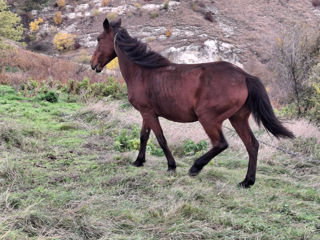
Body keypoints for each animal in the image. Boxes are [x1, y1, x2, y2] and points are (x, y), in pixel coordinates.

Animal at [90, 18, 296, 188]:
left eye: (99, 39)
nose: (93, 65)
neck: (142, 71)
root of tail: (245, 76)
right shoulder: (146, 113)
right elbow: (144, 137)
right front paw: (139, 161)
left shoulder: (148, 113)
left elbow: (160, 139)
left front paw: (171, 166)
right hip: (237, 119)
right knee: (252, 145)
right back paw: (247, 181)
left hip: (209, 119)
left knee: (221, 144)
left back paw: (195, 168)